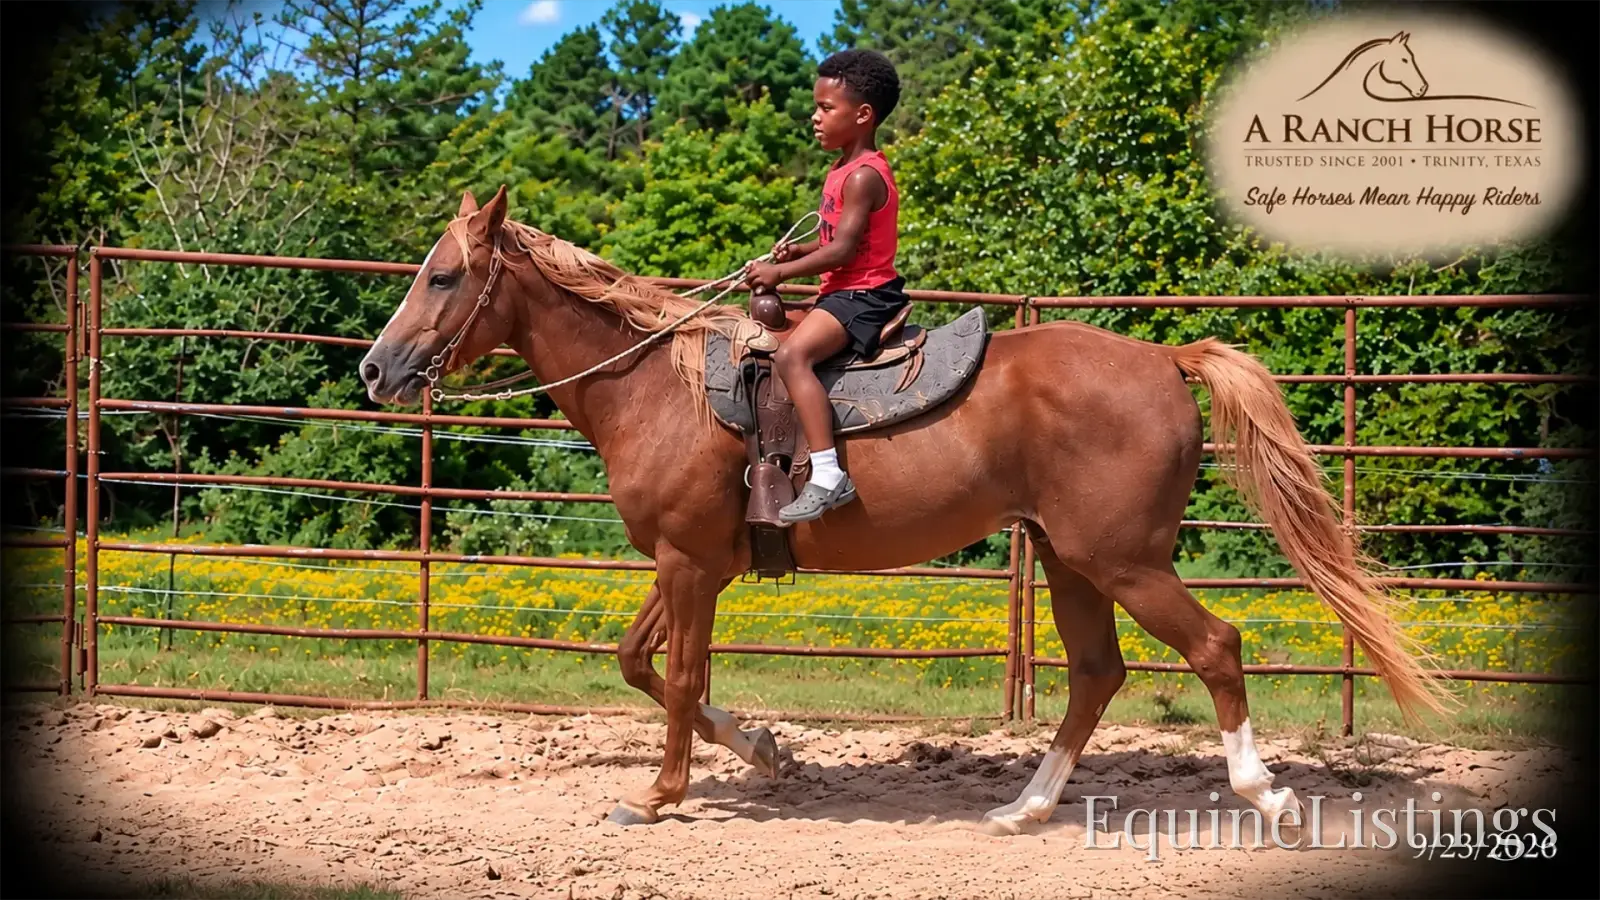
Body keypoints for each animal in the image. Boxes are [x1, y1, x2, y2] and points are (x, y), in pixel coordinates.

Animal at [357, 186, 1456, 836]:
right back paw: (1023, 808)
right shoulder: (691, 562)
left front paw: (660, 796)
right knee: (1096, 673)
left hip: (1125, 559)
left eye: (443, 275)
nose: (375, 368)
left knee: (1216, 647)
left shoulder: (688, 564)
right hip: (1069, 558)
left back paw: (1265, 794)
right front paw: (764, 751)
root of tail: (1162, 357)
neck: (658, 387)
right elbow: (639, 663)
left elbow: (675, 679)